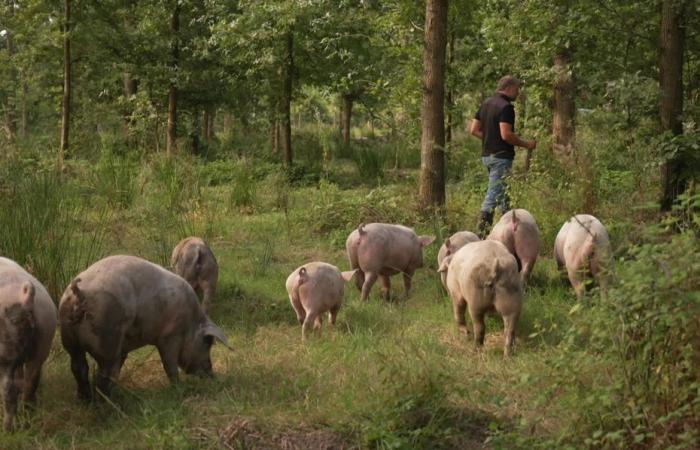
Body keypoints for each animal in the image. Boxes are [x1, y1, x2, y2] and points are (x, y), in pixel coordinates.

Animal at [0, 258, 56, 430]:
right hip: (43, 342)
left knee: (9, 390)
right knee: (30, 383)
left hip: (5, 351)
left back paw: (8, 428)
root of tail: (25, 297)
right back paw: (29, 414)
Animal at [58, 255, 230, 400]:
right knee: (102, 375)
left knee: (79, 367)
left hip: (69, 337)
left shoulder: (124, 348)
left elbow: (119, 366)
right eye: (208, 342)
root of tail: (80, 292)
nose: (211, 373)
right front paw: (178, 389)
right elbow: (169, 364)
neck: (191, 322)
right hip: (106, 335)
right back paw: (110, 403)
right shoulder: (169, 336)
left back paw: (85, 399)